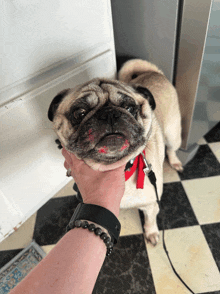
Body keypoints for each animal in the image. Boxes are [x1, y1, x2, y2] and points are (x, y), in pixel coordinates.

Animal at [48, 58, 182, 245]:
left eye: (130, 108)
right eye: (79, 113)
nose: (110, 114)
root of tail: (154, 73)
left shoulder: (151, 205)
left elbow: (150, 220)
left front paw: (151, 233)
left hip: (173, 133)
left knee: (171, 148)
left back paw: (175, 161)